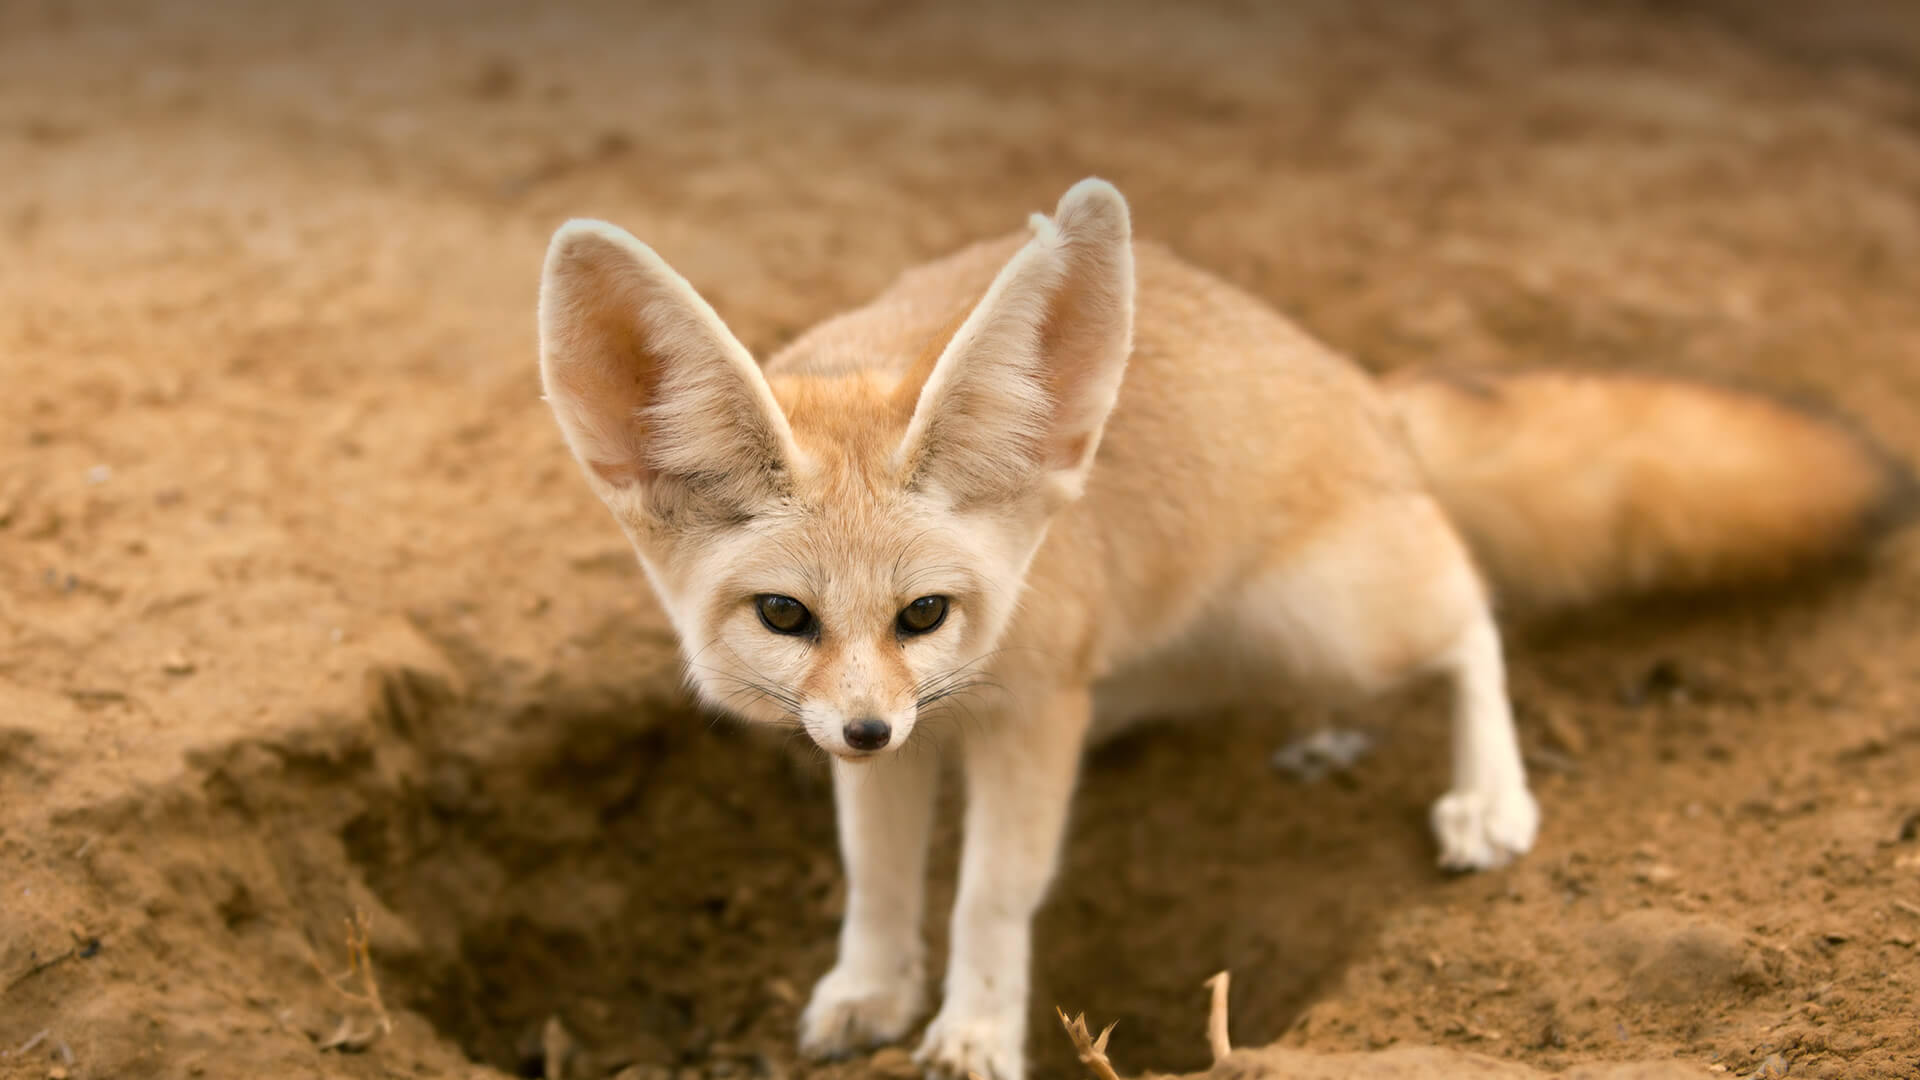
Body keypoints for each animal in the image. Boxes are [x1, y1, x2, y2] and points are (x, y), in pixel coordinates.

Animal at [535, 179, 1911, 1080]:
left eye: (925, 612)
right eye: (786, 615)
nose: (869, 729)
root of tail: (1365, 391)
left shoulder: (1030, 715)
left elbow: (991, 893)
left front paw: (975, 1030)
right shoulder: (903, 738)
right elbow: (877, 877)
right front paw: (871, 990)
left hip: (1333, 613)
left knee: (1471, 610)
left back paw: (1488, 796)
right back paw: (1327, 737)